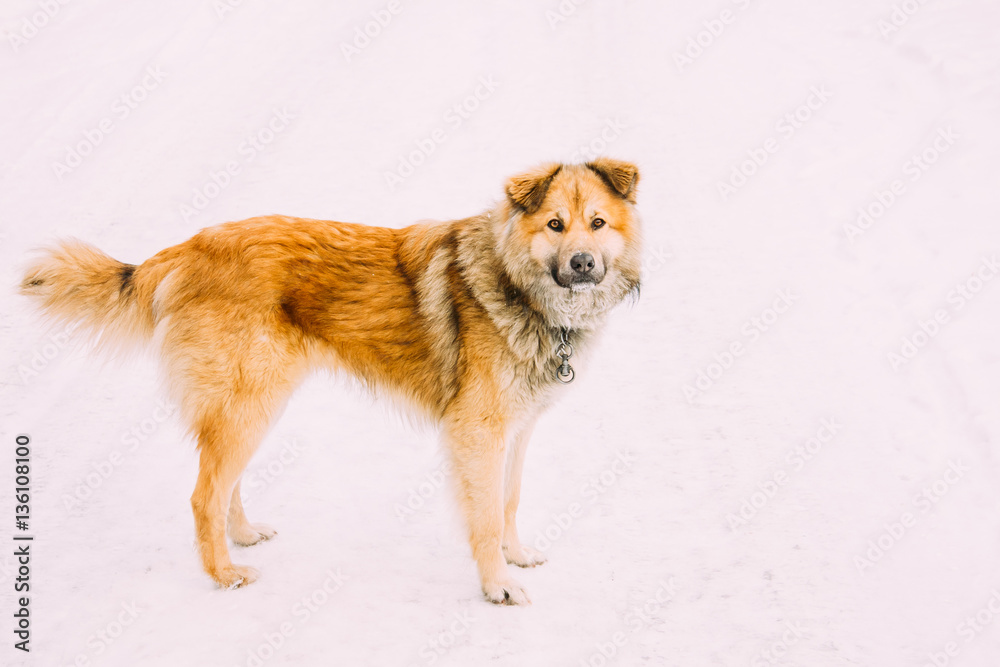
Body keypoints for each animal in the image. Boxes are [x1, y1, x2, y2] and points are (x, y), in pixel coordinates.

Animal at [19, 159, 644, 608]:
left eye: (597, 224)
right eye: (554, 225)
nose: (583, 264)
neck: (517, 285)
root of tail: (193, 245)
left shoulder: (517, 430)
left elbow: (508, 501)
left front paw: (516, 556)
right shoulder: (479, 431)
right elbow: (486, 516)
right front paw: (498, 586)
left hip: (253, 403)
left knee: (223, 483)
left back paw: (241, 536)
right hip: (251, 399)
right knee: (203, 494)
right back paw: (224, 574)